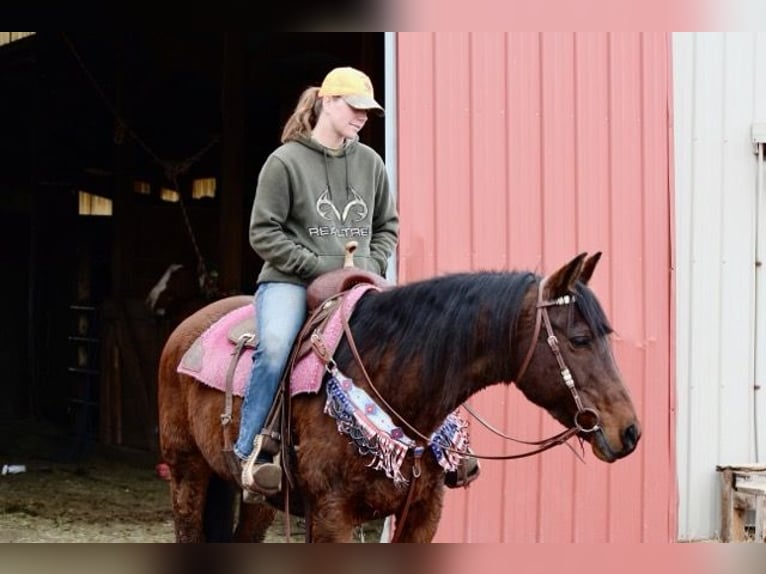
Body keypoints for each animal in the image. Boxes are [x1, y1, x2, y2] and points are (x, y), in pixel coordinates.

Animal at [159, 253, 644, 544]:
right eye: (580, 339)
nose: (630, 431)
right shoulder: (332, 515)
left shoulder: (422, 515)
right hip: (186, 470)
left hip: (254, 497)